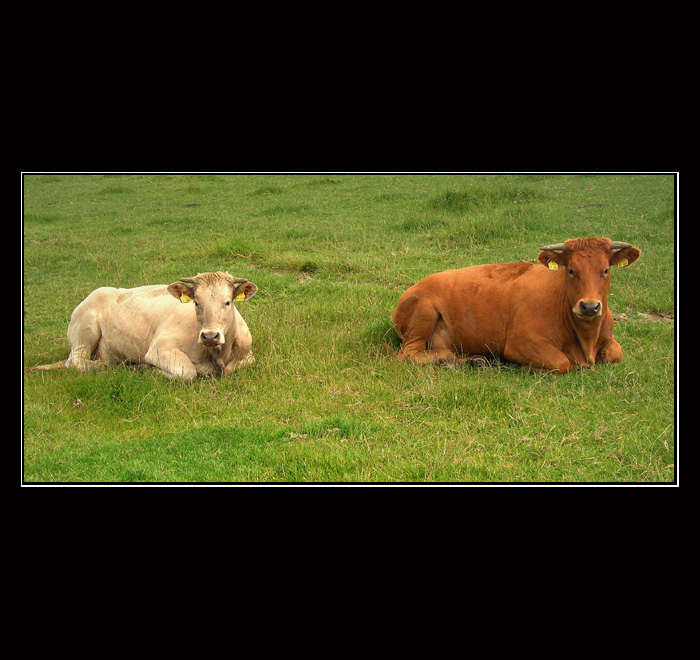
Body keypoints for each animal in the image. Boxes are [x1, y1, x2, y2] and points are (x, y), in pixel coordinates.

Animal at [30, 272, 258, 381]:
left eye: (227, 302)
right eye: (196, 303)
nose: (210, 336)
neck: (218, 356)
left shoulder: (248, 357)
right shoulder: (159, 349)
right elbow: (187, 372)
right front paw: (147, 369)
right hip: (85, 332)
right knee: (75, 362)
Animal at [391, 237, 641, 374]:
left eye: (605, 270)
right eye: (571, 270)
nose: (589, 307)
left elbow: (615, 354)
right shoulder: (520, 342)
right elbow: (562, 363)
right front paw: (521, 366)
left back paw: (474, 361)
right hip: (422, 317)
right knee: (410, 354)